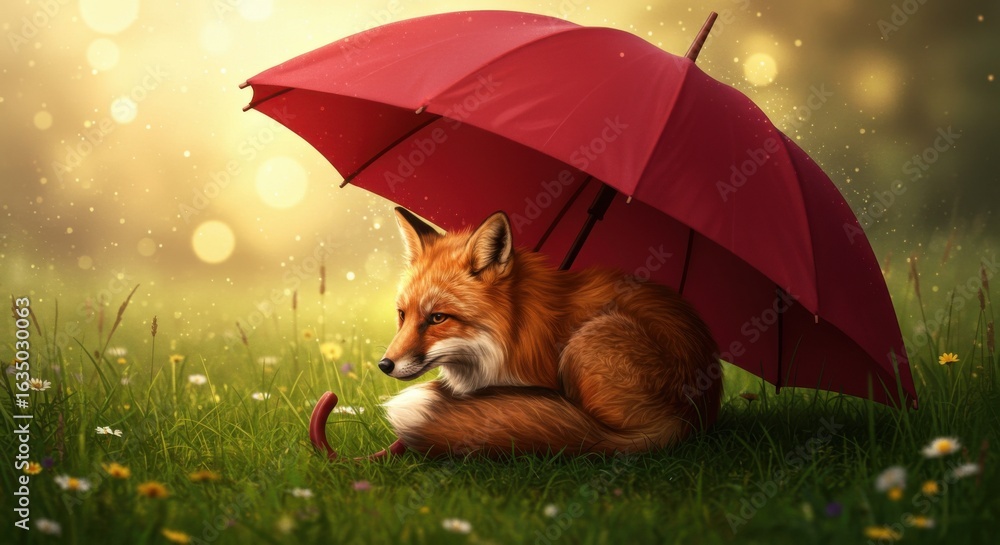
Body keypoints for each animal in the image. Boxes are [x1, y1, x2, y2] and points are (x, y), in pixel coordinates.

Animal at [378, 207, 722, 456]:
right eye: (402, 315)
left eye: (438, 318)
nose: (384, 365)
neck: (516, 330)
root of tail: (687, 418)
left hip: (589, 340)